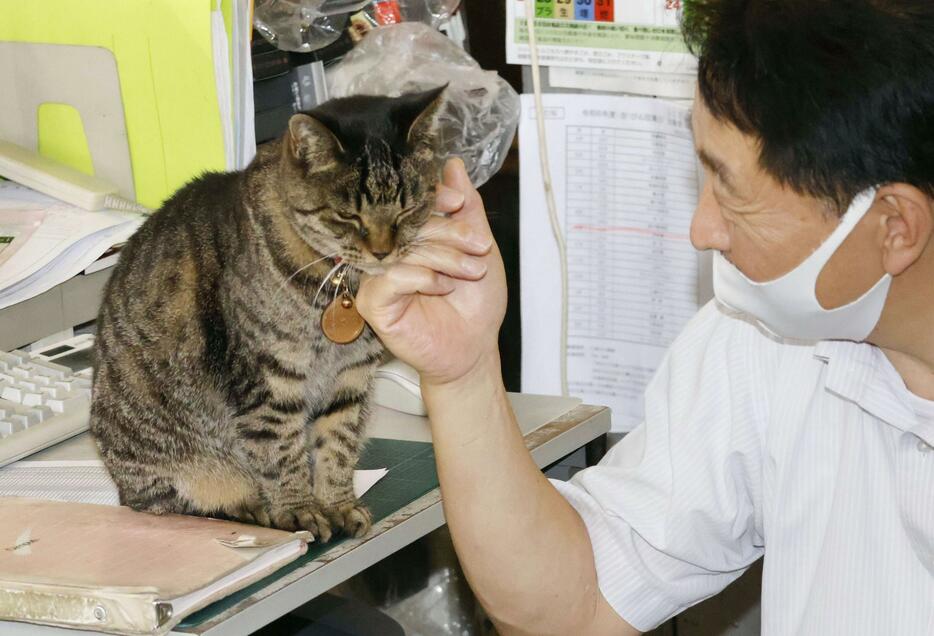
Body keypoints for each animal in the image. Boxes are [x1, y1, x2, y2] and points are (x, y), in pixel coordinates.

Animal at [91, 85, 446, 540]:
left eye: (408, 209)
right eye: (348, 215)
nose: (382, 251)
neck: (341, 286)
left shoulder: (351, 377)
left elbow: (338, 444)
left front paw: (338, 504)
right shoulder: (270, 378)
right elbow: (281, 450)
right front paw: (300, 510)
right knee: (174, 501)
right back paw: (247, 504)